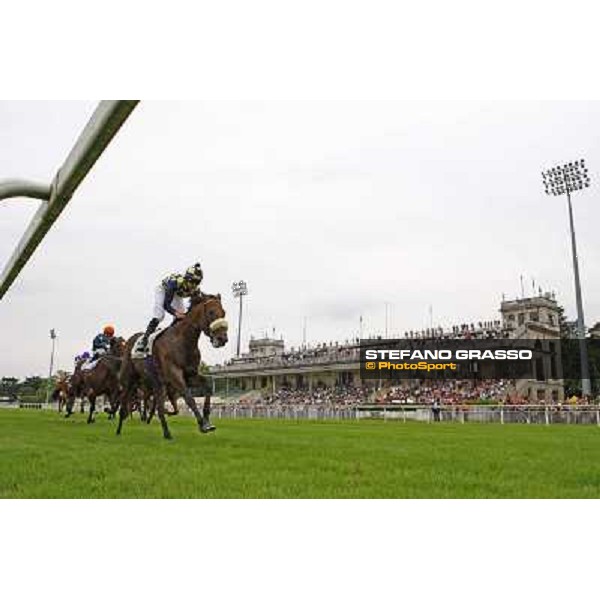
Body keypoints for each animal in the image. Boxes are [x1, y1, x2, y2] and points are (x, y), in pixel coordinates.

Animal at [116, 292, 227, 438]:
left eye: (224, 312)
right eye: (211, 312)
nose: (223, 339)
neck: (182, 341)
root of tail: (129, 340)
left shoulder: (190, 375)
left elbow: (207, 385)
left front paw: (207, 420)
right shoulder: (174, 375)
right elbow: (188, 397)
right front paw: (202, 425)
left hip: (157, 383)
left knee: (158, 406)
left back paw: (167, 433)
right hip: (129, 379)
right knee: (124, 402)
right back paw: (118, 430)